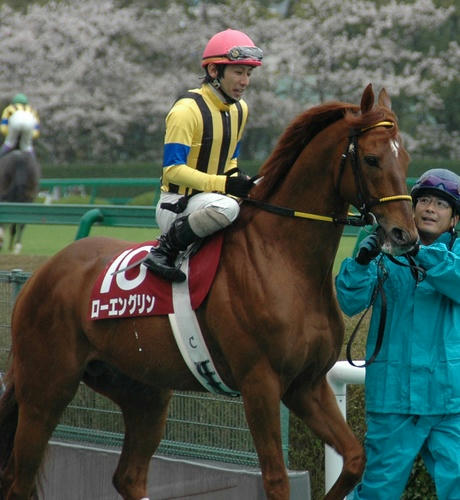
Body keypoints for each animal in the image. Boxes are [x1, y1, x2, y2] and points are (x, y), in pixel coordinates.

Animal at [0, 84, 416, 498]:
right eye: (372, 159)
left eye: (406, 158)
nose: (405, 235)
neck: (282, 259)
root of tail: (41, 274)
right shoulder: (260, 384)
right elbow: (277, 479)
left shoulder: (307, 384)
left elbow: (356, 458)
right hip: (45, 390)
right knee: (20, 480)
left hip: (144, 391)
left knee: (128, 475)